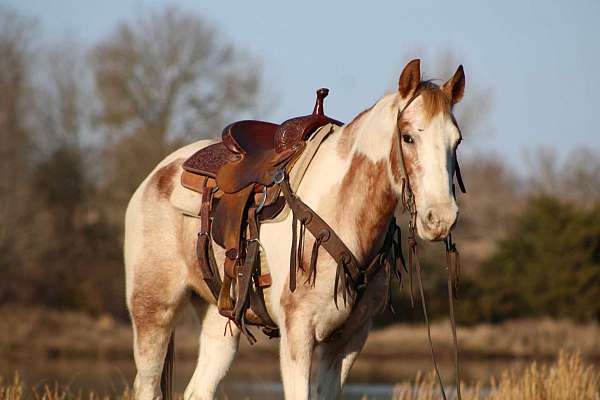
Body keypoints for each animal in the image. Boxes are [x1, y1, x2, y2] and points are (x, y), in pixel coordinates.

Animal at [124, 59, 466, 400]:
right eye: (408, 137)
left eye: (457, 141)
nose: (441, 218)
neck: (341, 209)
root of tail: (158, 175)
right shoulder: (297, 332)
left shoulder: (349, 340)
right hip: (153, 310)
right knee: (147, 385)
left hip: (220, 322)